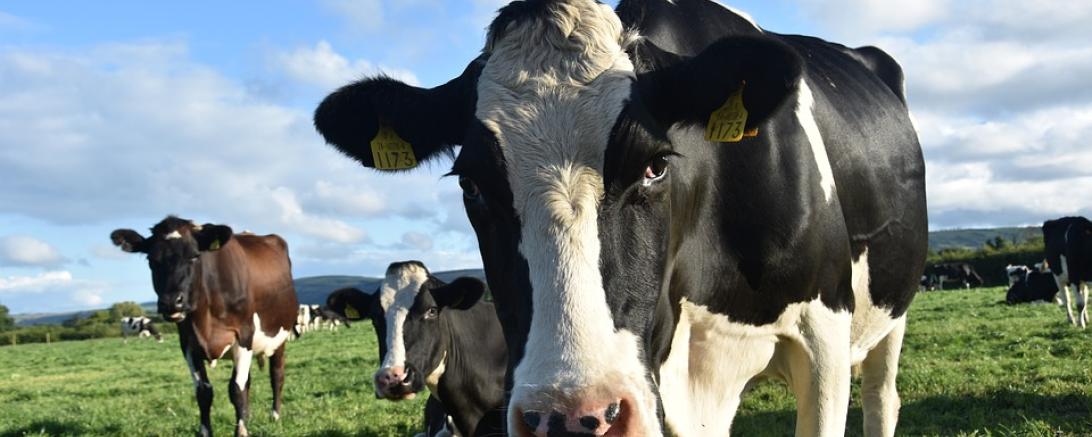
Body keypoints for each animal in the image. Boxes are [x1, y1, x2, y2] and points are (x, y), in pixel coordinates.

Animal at [111, 216, 298, 437]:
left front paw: (241, 431)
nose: (171, 302)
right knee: (248, 381)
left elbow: (236, 389)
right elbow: (204, 392)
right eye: (151, 260)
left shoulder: (244, 336)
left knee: (276, 375)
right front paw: (208, 431)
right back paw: (249, 415)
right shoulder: (188, 344)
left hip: (280, 336)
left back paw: (275, 415)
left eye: (194, 256)